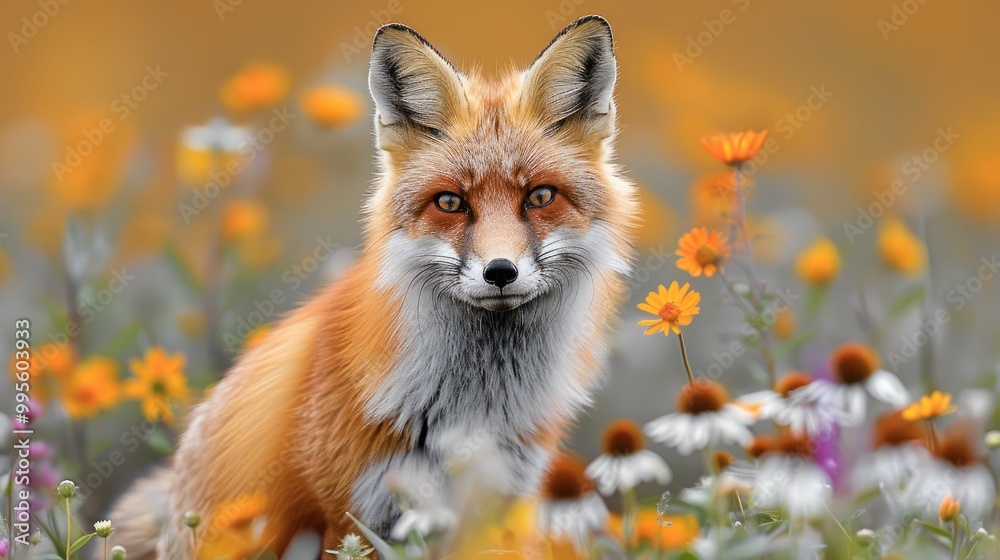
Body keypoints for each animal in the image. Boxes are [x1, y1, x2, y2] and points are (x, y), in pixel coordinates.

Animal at [110, 14, 638, 559]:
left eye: (540, 196)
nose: (499, 271)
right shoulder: (349, 515)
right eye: (450, 203)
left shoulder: (497, 507)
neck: (474, 409)